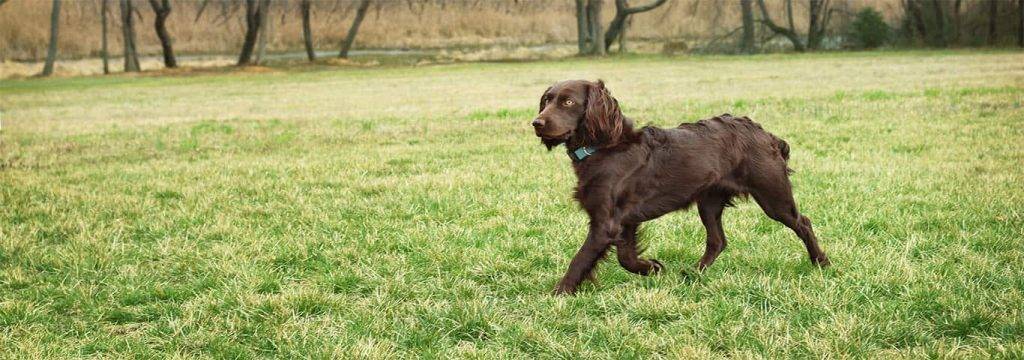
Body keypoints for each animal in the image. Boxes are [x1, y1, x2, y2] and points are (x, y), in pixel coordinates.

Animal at [532, 80, 827, 294]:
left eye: (568, 102)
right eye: (546, 101)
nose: (536, 123)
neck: (604, 147)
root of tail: (767, 134)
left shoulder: (606, 223)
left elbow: (581, 259)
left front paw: (559, 292)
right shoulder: (625, 221)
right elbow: (625, 258)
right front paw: (652, 267)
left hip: (772, 195)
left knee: (803, 223)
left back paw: (821, 262)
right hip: (709, 201)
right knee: (717, 240)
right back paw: (694, 273)